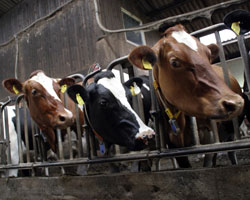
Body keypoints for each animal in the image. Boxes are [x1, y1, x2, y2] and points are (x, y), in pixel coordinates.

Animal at [129, 24, 244, 168]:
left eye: (208, 55)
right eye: (174, 62)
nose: (235, 102)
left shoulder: (211, 136)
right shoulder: (173, 145)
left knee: (231, 152)